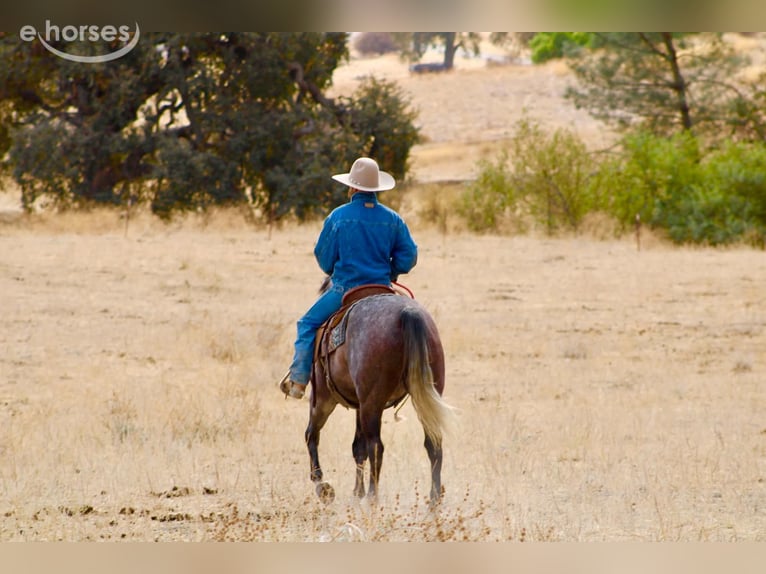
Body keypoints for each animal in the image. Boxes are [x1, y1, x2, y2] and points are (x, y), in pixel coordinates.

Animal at [304, 281, 454, 505]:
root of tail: (407, 314)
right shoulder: (359, 404)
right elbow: (358, 447)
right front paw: (356, 492)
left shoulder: (323, 397)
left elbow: (312, 435)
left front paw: (322, 485)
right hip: (425, 396)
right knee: (433, 444)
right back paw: (434, 502)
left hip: (368, 402)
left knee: (375, 447)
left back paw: (372, 498)